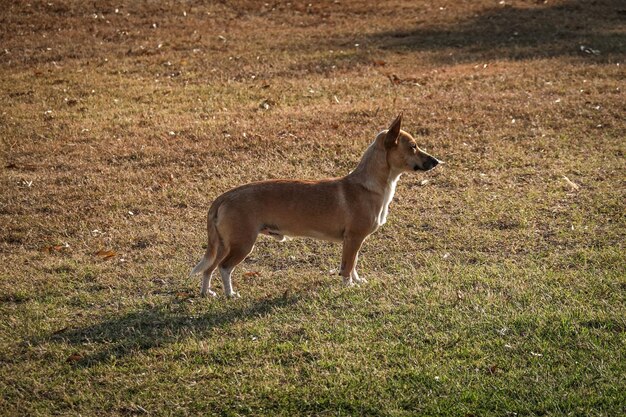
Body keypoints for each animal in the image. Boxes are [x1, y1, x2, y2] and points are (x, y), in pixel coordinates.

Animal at [190, 114, 438, 296]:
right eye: (413, 147)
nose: (437, 161)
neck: (369, 184)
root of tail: (223, 197)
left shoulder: (355, 241)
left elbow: (354, 264)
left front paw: (357, 281)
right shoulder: (353, 239)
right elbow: (347, 266)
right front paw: (349, 286)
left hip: (224, 244)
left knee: (209, 268)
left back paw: (207, 293)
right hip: (242, 244)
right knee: (224, 268)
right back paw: (230, 294)